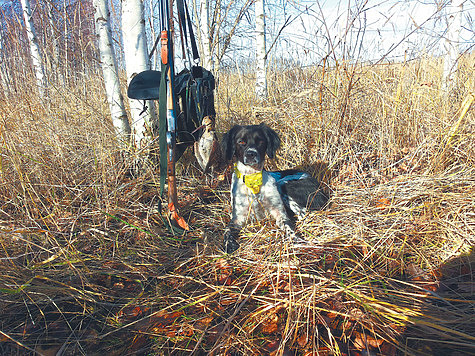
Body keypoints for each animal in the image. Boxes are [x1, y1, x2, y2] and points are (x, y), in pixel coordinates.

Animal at [222, 123, 328, 253]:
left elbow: (290, 229)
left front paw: (297, 240)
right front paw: (229, 245)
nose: (251, 154)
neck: (253, 180)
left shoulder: (280, 214)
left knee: (303, 213)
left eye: (260, 141)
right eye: (241, 142)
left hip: (283, 184)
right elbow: (226, 231)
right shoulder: (237, 218)